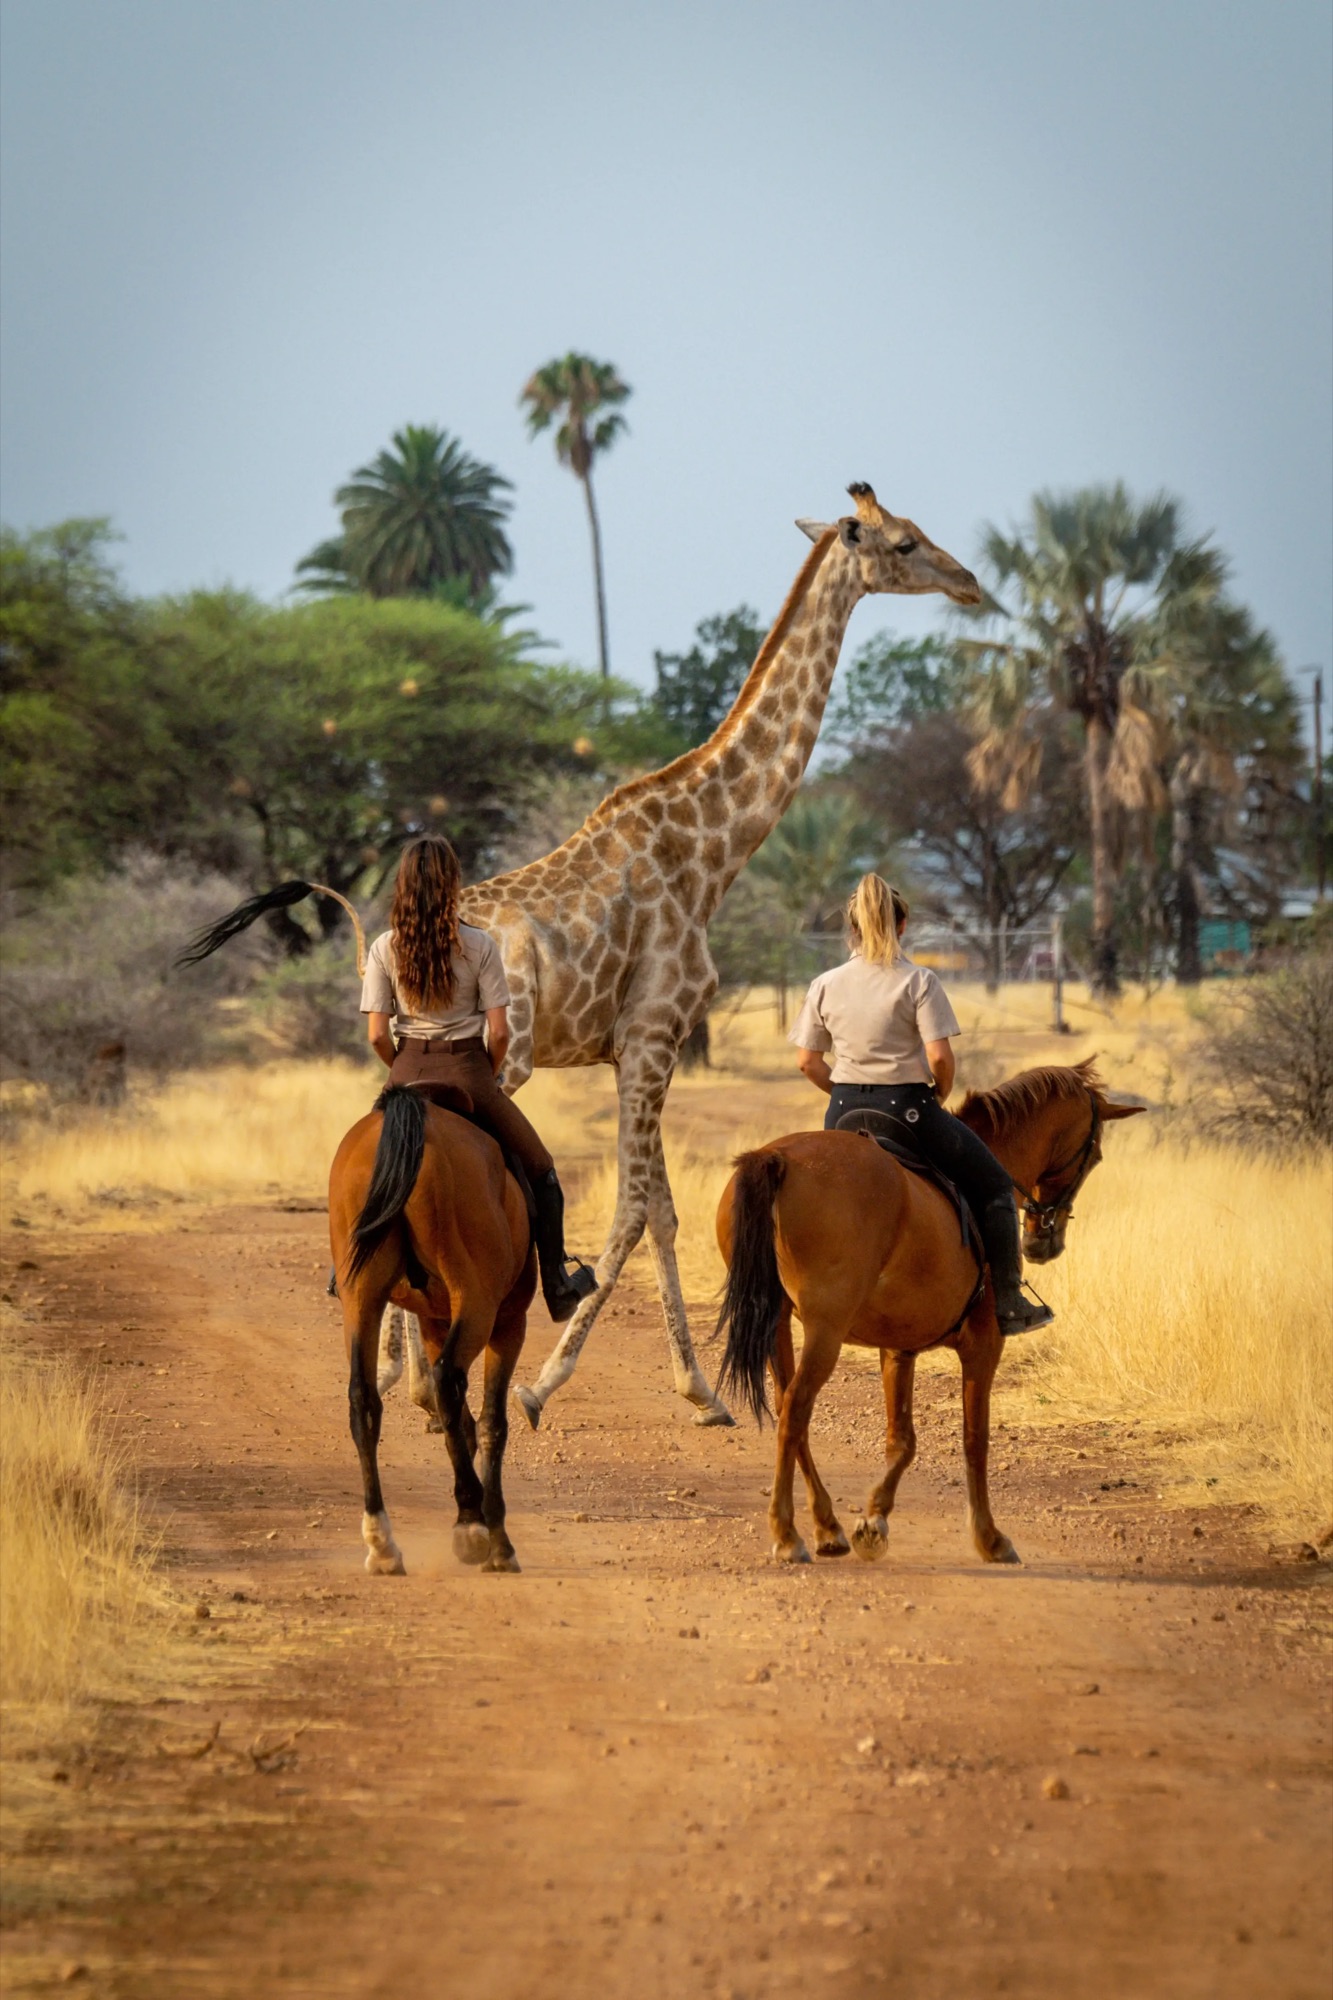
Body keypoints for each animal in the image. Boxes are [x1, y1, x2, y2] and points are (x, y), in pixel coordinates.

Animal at [330, 1083, 536, 1576]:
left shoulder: (432, 1321)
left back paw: (382, 1543)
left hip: (361, 1296)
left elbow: (459, 1420)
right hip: (479, 1303)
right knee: (447, 1380)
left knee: (363, 1399)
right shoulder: (508, 1323)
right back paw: (471, 1530)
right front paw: (496, 1539)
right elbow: (490, 1423)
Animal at [387, 484, 980, 1429]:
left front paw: (699, 1392)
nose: (967, 582)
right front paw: (540, 1386)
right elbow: (633, 1208)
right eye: (903, 541)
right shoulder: (653, 1033)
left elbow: (661, 1211)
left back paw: (402, 1375)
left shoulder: (639, 1046)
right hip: (499, 1059)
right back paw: (428, 1382)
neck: (711, 852)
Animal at [713, 1061, 1144, 1567]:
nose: (1044, 1242)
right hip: (825, 1329)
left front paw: (873, 1521)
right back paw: (787, 1535)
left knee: (786, 1407)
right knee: (796, 1410)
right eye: (1093, 1155)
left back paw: (827, 1527)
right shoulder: (983, 1346)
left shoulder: (899, 1349)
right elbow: (975, 1438)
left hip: (777, 1323)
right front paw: (989, 1538)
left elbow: (902, 1440)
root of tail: (776, 1158)